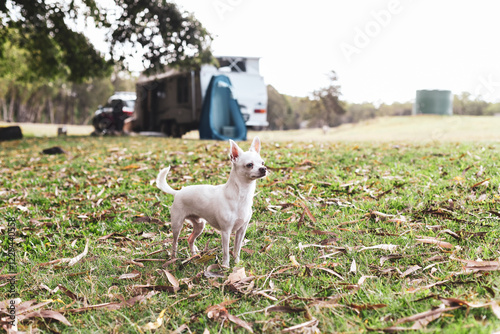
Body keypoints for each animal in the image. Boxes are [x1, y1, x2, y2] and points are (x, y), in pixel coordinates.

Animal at [157, 137, 268, 268]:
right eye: (249, 165)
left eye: (262, 163)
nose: (264, 169)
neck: (241, 195)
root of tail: (178, 192)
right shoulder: (226, 231)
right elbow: (226, 251)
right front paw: (225, 266)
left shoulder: (241, 230)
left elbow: (237, 249)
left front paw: (237, 263)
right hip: (177, 225)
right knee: (175, 242)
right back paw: (173, 259)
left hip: (199, 225)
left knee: (190, 239)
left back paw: (194, 256)